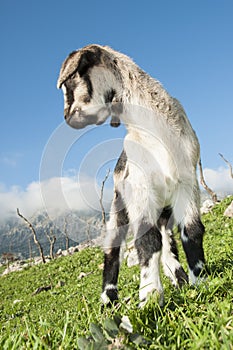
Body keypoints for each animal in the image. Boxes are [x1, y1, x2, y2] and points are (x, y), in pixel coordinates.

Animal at [57, 44, 207, 306]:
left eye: (71, 81)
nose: (67, 118)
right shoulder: (140, 189)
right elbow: (147, 241)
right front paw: (150, 297)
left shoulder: (187, 184)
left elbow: (191, 230)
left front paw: (200, 281)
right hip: (119, 207)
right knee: (112, 250)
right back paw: (109, 299)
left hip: (163, 210)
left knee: (167, 241)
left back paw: (178, 278)